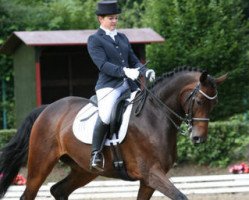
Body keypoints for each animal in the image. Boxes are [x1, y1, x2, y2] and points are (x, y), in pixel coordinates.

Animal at [0, 68, 227, 199]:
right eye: (199, 101)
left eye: (215, 103)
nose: (198, 138)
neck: (155, 116)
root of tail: (47, 108)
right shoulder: (151, 173)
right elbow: (181, 197)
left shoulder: (148, 181)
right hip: (41, 163)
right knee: (29, 194)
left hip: (84, 169)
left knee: (59, 190)